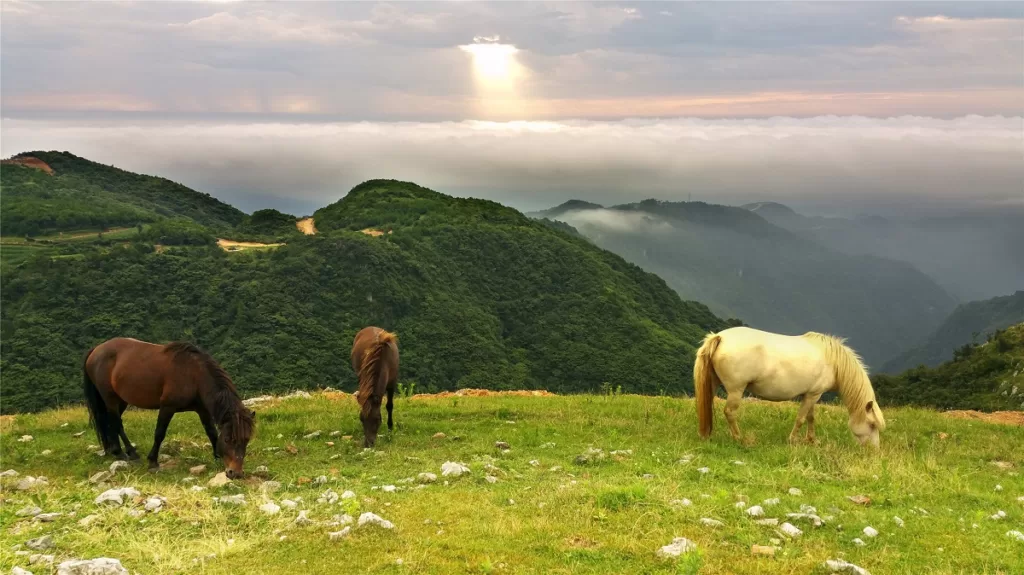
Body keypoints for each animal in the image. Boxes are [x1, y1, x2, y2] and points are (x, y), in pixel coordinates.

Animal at [81, 335, 253, 474]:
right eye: (228, 440)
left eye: (246, 440)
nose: (235, 473)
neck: (194, 375)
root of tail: (97, 349)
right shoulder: (167, 407)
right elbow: (159, 433)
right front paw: (153, 462)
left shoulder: (202, 410)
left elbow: (211, 432)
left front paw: (217, 457)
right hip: (109, 397)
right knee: (116, 422)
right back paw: (128, 453)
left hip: (120, 400)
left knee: (110, 422)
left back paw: (115, 451)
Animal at [696, 327, 888, 444]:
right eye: (872, 425)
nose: (874, 451)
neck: (833, 361)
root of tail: (720, 337)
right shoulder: (813, 395)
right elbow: (801, 418)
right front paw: (793, 440)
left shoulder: (811, 395)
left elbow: (810, 417)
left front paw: (812, 440)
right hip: (736, 390)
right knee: (730, 412)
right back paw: (738, 438)